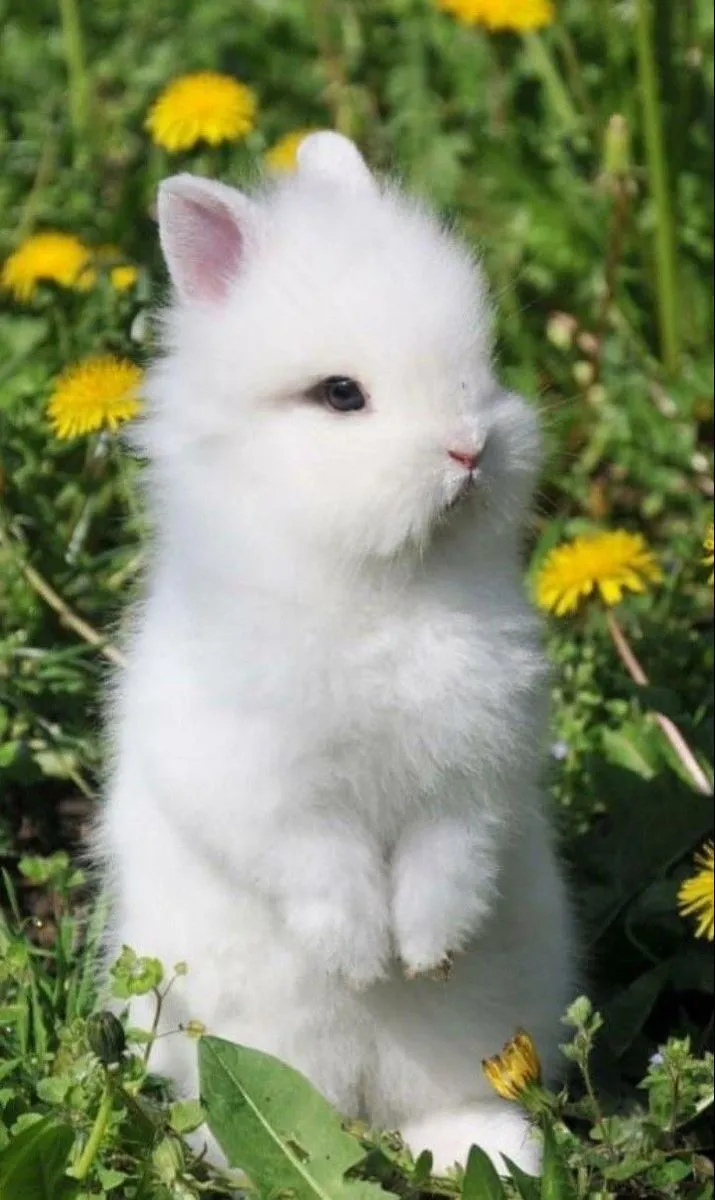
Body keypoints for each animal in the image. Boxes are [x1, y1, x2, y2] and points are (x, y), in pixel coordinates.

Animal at [97, 131, 574, 1178]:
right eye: (341, 395)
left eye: (481, 365)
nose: (469, 451)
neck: (380, 590)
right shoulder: (262, 781)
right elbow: (316, 863)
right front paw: (363, 957)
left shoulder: (475, 771)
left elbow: (449, 855)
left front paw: (422, 950)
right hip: (251, 1037)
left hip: (480, 1024)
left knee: (448, 1091)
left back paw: (487, 1151)